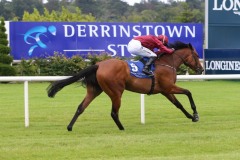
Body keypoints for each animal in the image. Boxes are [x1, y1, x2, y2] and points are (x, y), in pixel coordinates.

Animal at [47, 41, 204, 131]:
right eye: (196, 55)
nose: (201, 70)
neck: (166, 63)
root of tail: (99, 64)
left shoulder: (165, 90)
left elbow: (178, 104)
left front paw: (191, 117)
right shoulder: (168, 87)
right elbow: (188, 92)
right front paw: (196, 114)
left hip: (95, 90)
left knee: (81, 107)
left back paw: (69, 127)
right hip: (116, 92)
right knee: (113, 112)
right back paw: (122, 128)